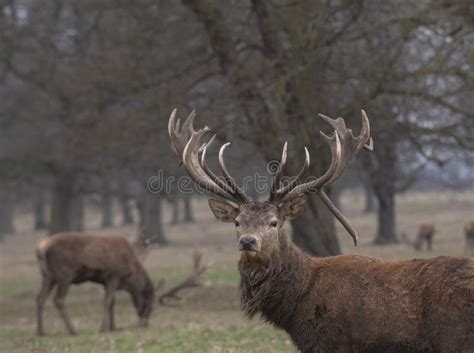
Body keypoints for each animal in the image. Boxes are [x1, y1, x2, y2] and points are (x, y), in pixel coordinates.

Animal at [36, 232, 206, 334]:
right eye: (150, 306)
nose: (144, 323)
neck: (130, 277)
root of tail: (41, 248)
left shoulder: (106, 281)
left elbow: (112, 302)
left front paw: (113, 327)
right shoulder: (113, 275)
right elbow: (108, 301)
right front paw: (104, 328)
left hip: (47, 275)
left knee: (40, 298)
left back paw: (40, 332)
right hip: (65, 274)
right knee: (58, 299)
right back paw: (72, 330)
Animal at [168, 109, 472, 352]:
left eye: (274, 222)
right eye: (237, 221)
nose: (247, 241)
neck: (296, 308)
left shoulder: (328, 341)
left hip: (454, 339)